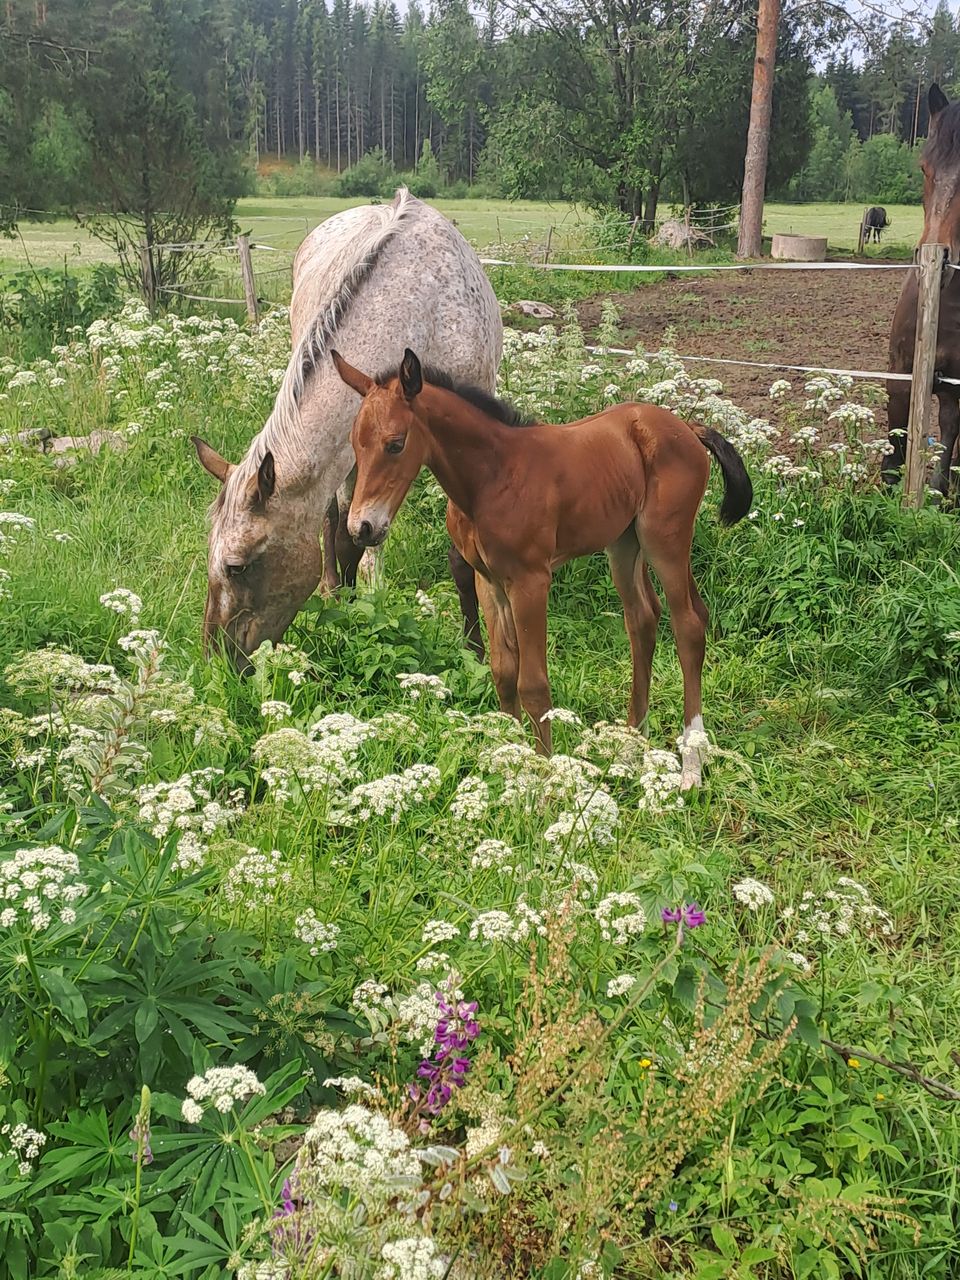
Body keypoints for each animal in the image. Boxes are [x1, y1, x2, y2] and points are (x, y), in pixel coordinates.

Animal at [189, 192, 504, 670]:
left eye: (237, 566)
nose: (219, 662)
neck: (421, 310)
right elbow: (347, 537)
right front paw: (347, 614)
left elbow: (457, 555)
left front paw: (475, 652)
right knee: (337, 522)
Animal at [335, 350, 757, 788]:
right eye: (354, 444)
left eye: (395, 444)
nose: (362, 527)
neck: (493, 477)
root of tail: (687, 427)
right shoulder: (489, 581)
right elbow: (503, 671)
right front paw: (509, 762)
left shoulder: (531, 581)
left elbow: (533, 683)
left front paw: (541, 778)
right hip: (624, 543)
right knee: (643, 618)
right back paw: (629, 748)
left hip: (665, 540)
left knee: (688, 624)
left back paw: (692, 762)